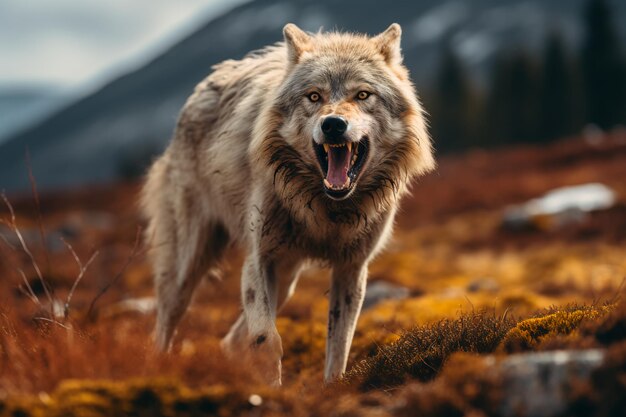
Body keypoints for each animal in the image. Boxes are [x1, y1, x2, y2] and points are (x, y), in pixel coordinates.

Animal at [140, 22, 434, 386]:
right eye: (314, 96)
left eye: (363, 95)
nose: (333, 124)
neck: (326, 209)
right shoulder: (259, 261)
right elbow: (267, 339)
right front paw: (272, 389)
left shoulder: (351, 270)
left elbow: (339, 344)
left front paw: (332, 389)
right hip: (189, 266)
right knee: (167, 321)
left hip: (286, 282)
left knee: (231, 338)